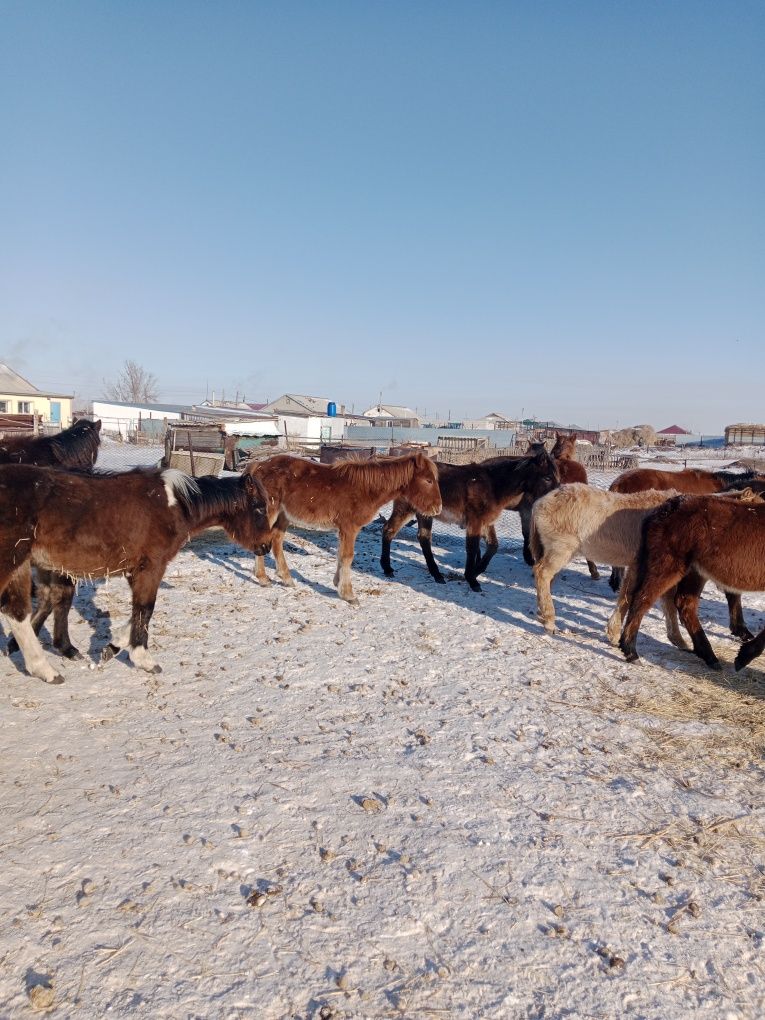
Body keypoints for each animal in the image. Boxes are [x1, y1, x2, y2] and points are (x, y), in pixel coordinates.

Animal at [0, 467, 273, 681]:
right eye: (259, 509)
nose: (266, 547)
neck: (175, 505)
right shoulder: (151, 567)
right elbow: (146, 608)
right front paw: (143, 659)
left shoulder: (137, 570)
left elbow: (138, 610)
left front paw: (113, 646)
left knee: (18, 611)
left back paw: (43, 667)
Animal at [249, 454, 442, 603]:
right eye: (428, 480)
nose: (437, 508)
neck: (366, 489)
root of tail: (259, 465)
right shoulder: (350, 528)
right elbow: (347, 557)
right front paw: (348, 594)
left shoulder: (343, 529)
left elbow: (341, 555)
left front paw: (337, 583)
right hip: (270, 513)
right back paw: (263, 578)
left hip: (283, 516)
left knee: (276, 540)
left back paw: (286, 578)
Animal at [381, 448, 558, 595]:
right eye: (547, 477)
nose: (557, 498)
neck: (493, 485)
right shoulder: (475, 521)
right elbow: (472, 548)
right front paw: (472, 579)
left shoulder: (486, 522)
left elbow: (493, 546)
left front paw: (476, 571)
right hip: (406, 509)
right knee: (389, 530)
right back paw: (388, 568)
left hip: (424, 514)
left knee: (422, 538)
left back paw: (436, 574)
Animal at [620, 491, 765, 669]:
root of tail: (665, 509)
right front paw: (744, 656)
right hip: (668, 567)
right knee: (642, 599)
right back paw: (631, 651)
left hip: (694, 571)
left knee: (685, 604)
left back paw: (708, 656)